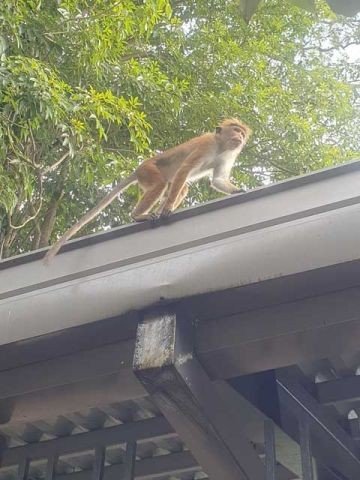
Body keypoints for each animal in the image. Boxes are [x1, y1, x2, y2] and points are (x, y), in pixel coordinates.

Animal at [45, 118, 252, 262]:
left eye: (241, 132)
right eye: (236, 130)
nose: (241, 137)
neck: (220, 146)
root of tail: (138, 169)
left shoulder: (227, 155)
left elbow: (217, 180)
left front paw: (238, 191)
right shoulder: (206, 145)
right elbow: (184, 169)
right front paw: (167, 208)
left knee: (180, 188)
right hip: (148, 171)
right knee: (162, 183)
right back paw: (138, 215)